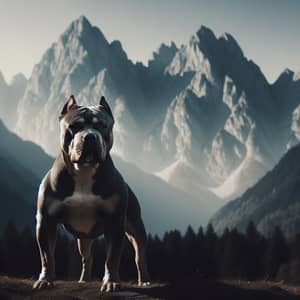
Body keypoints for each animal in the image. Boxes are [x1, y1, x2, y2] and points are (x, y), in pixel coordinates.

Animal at [33, 95, 150, 290]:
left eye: (102, 126)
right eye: (74, 126)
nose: (90, 136)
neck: (84, 170)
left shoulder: (115, 223)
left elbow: (112, 257)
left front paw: (111, 282)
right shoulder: (46, 221)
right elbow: (47, 256)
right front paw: (45, 280)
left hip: (135, 227)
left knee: (140, 255)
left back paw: (145, 281)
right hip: (84, 238)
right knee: (87, 257)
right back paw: (84, 280)